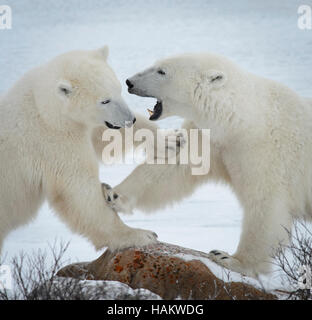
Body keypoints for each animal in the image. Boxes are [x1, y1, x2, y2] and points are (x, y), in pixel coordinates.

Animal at [0, 46, 185, 254]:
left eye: (118, 89)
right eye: (104, 101)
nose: (130, 119)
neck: (44, 108)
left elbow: (103, 135)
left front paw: (171, 140)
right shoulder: (51, 141)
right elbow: (78, 190)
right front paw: (140, 234)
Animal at [109, 52, 312, 278]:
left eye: (162, 71)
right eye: (156, 65)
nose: (129, 82)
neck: (241, 119)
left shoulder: (265, 152)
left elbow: (265, 203)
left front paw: (230, 259)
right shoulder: (213, 139)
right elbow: (175, 167)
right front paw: (115, 195)